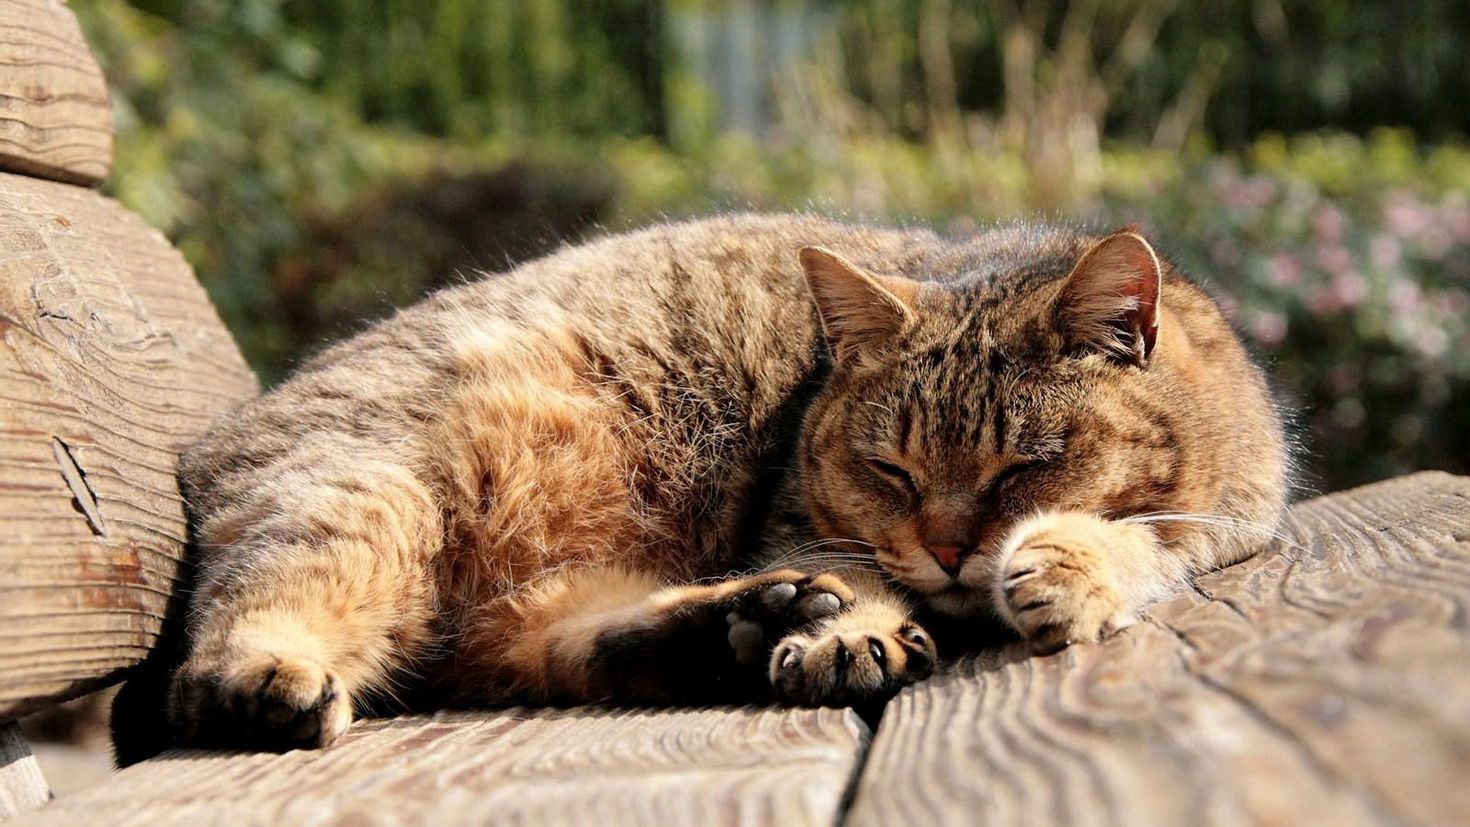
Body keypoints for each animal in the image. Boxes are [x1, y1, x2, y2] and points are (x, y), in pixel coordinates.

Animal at [158, 211, 1287, 752]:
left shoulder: (1232, 517)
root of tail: (214, 436)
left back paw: (731, 624)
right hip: (361, 492)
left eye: (1024, 464)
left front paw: (1064, 560)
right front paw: (851, 631)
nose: (950, 550)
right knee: (232, 642)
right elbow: (850, 568)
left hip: (520, 597)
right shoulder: (809, 520)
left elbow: (1140, 535)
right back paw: (263, 680)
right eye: (890, 467)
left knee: (555, 643)